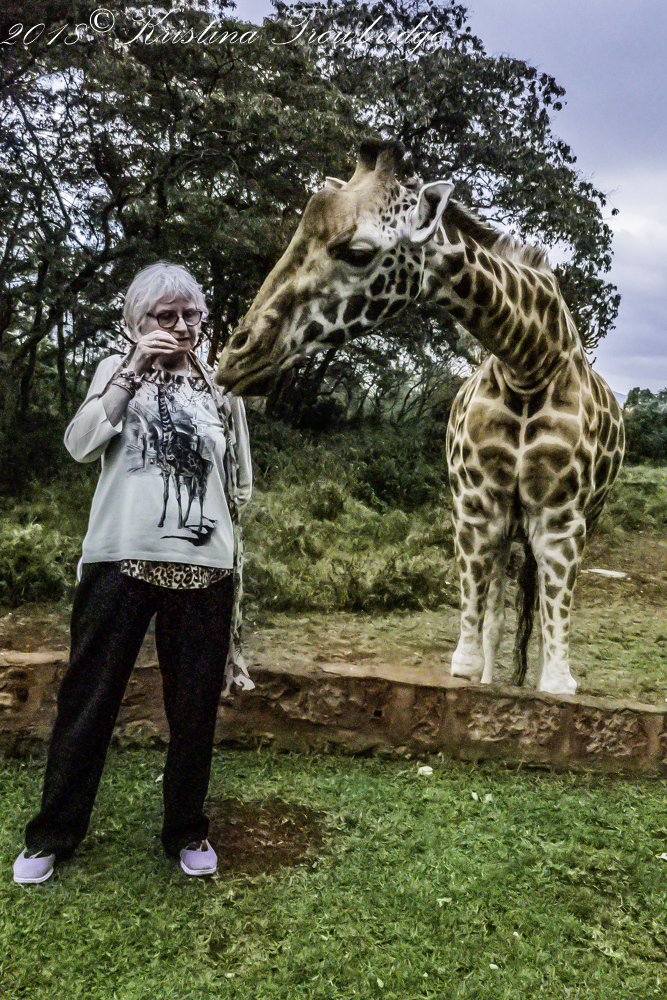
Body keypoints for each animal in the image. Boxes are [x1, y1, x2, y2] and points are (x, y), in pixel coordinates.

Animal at [155, 385, 212, 529]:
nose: (170, 397)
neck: (167, 435)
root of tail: (203, 462)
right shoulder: (165, 471)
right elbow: (165, 495)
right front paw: (161, 521)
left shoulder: (174, 472)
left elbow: (178, 496)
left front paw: (178, 524)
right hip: (188, 477)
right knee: (192, 494)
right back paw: (186, 521)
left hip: (199, 476)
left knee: (201, 496)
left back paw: (199, 526)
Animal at [216, 139, 624, 696]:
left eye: (358, 252)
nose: (237, 356)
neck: (529, 359)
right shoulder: (476, 506)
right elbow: (472, 648)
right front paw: (479, 678)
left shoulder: (562, 517)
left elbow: (554, 661)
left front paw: (547, 680)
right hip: (507, 522)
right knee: (497, 612)